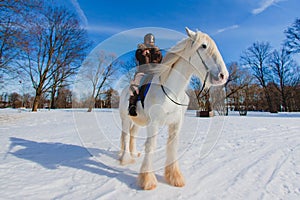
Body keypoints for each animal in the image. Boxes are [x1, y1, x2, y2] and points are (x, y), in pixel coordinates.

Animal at [118, 27, 229, 190]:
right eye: (203, 46)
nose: (223, 76)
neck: (171, 91)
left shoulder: (176, 123)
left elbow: (172, 146)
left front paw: (174, 177)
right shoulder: (154, 123)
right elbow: (150, 146)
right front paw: (147, 180)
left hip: (139, 121)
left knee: (132, 134)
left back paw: (134, 154)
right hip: (126, 119)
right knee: (126, 136)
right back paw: (125, 159)